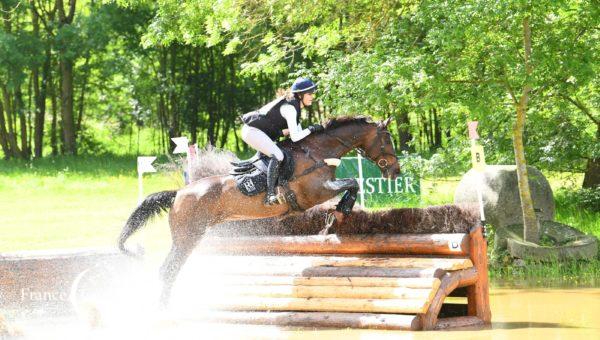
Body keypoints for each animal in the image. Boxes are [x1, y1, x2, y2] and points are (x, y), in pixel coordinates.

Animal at [118, 116, 400, 306]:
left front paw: (341, 210)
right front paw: (342, 210)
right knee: (168, 269)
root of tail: (179, 194)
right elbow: (353, 182)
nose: (396, 171)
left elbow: (353, 183)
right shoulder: (316, 192)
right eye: (387, 138)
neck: (318, 152)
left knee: (170, 269)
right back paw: (164, 308)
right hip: (187, 237)